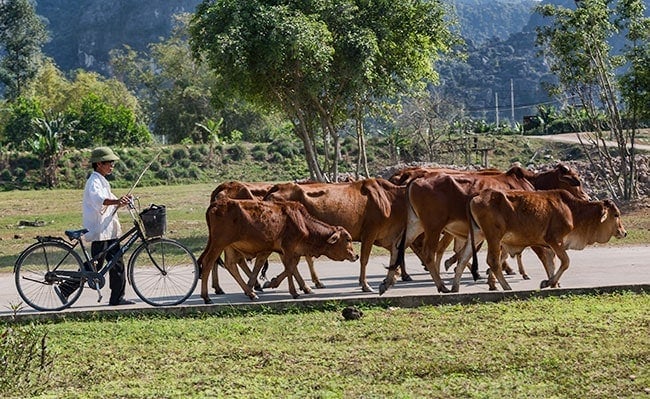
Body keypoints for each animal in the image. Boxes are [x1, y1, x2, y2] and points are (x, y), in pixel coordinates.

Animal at [197, 197, 360, 304]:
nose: (356, 255)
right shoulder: (288, 248)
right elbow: (290, 267)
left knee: (231, 265)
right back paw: (207, 297)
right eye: (347, 239)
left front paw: (303, 287)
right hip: (218, 243)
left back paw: (250, 293)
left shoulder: (288, 251)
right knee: (208, 263)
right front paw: (293, 291)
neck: (303, 222)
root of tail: (216, 204)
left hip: (228, 245)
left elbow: (292, 268)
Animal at [262, 180, 404, 292]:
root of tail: (278, 186)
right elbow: (364, 259)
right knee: (291, 260)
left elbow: (396, 253)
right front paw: (365, 285)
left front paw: (393, 276)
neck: (389, 199)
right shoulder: (370, 233)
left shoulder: (386, 238)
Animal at [456, 189, 624, 292]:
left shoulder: (549, 246)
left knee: (463, 259)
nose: (624, 232)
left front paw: (553, 283)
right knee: (493, 261)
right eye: (616, 214)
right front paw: (548, 283)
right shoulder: (554, 240)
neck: (572, 211)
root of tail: (478, 195)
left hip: (477, 234)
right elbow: (565, 262)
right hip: (494, 236)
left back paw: (454, 289)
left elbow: (551, 264)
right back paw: (506, 287)